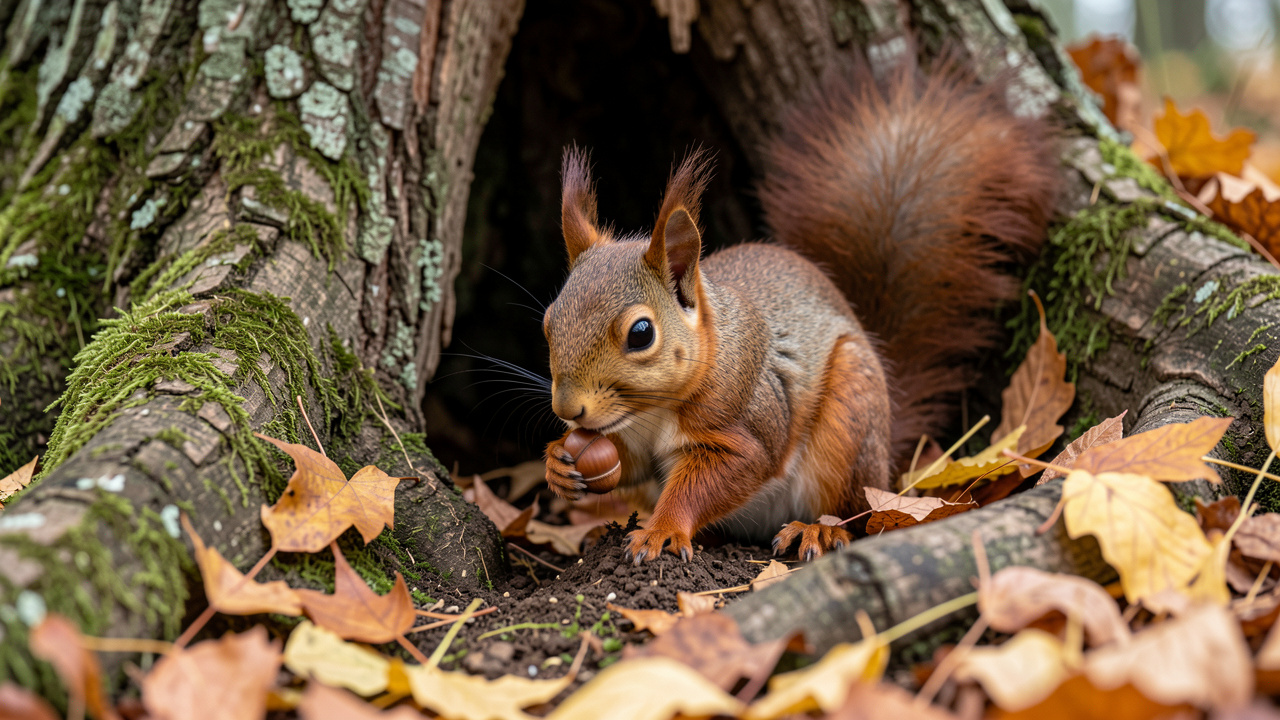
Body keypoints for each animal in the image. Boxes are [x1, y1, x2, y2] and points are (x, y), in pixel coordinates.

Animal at [541, 58, 1059, 563]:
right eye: (547, 322)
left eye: (641, 333)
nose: (568, 409)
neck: (652, 409)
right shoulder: (630, 437)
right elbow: (627, 464)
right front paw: (557, 464)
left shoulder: (749, 422)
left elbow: (721, 475)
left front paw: (662, 530)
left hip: (849, 424)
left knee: (855, 512)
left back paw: (818, 531)